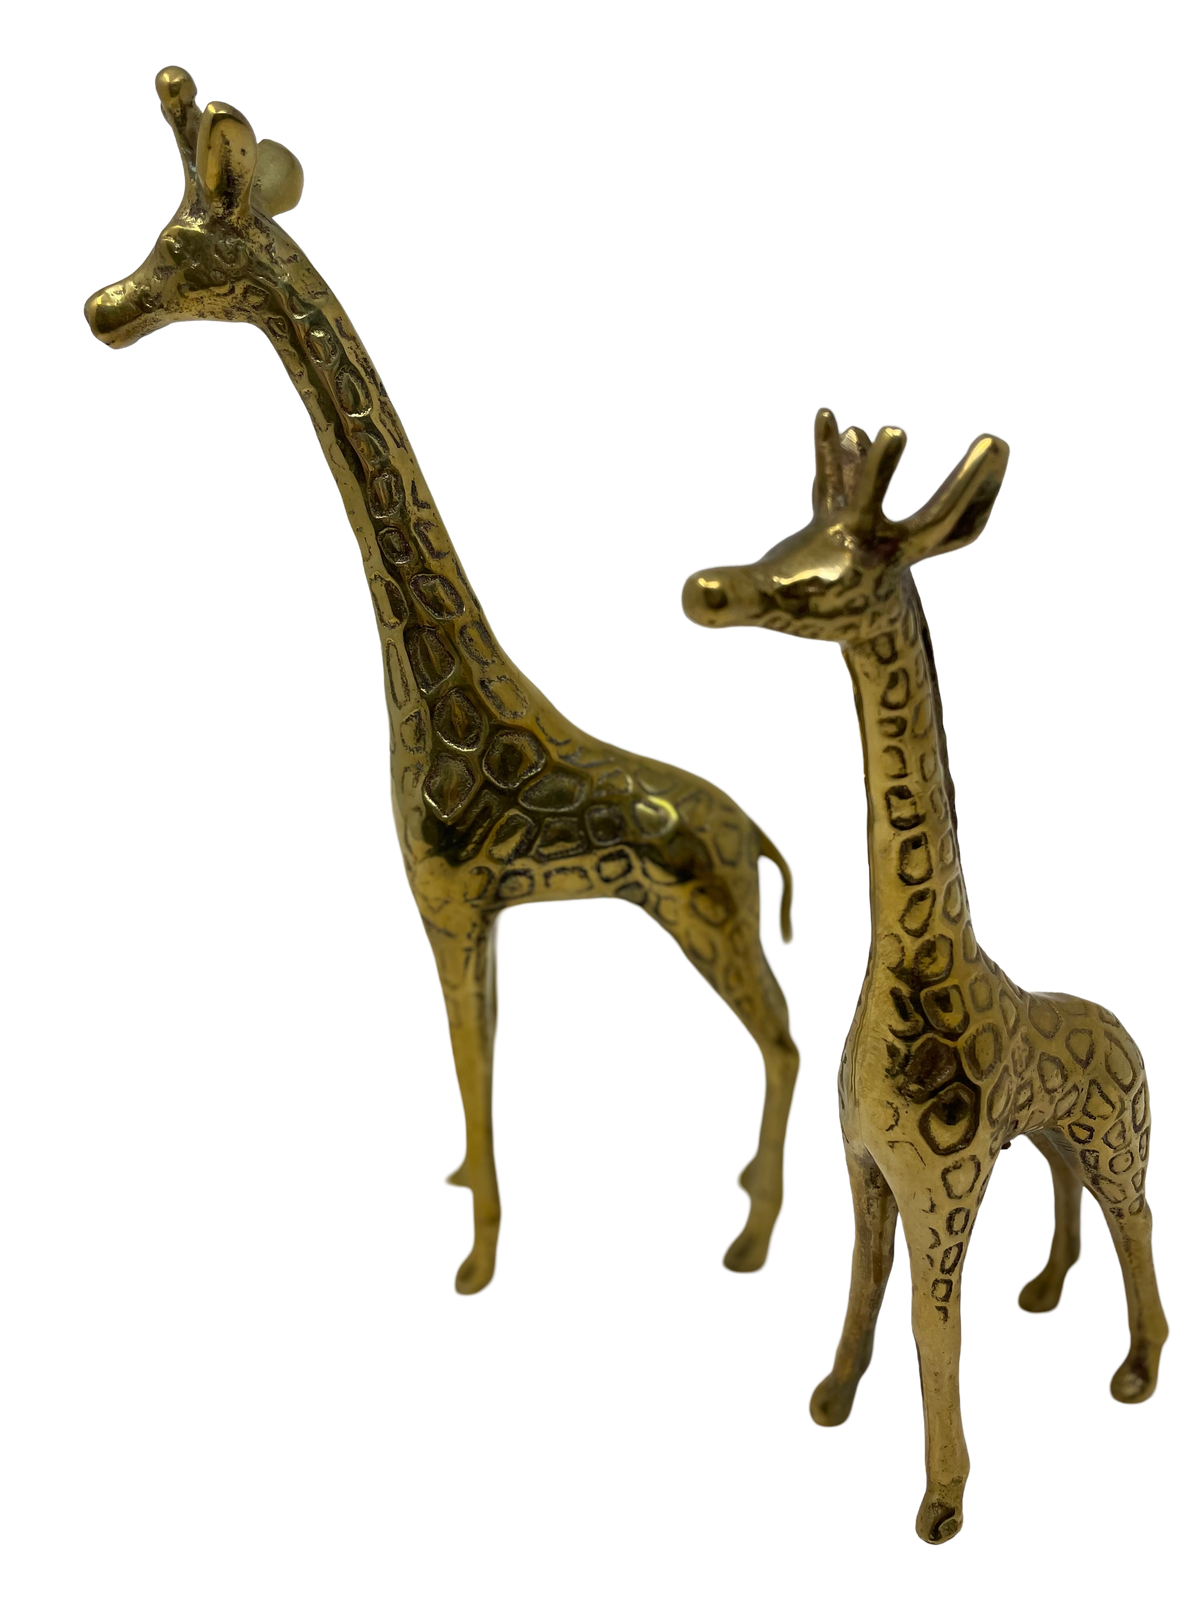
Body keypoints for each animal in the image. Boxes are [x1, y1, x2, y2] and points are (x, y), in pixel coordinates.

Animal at [80, 64, 805, 1300]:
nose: (101, 309)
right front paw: (467, 1196)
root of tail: (757, 836)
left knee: (787, 1043)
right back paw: (746, 1197)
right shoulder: (487, 912)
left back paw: (750, 1243)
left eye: (177, 249)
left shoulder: (448, 901)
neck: (435, 687)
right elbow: (485, 1072)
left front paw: (475, 1266)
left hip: (705, 922)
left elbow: (472, 1068)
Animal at [679, 406, 1172, 1545]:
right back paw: (1044, 1293)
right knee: (1069, 1187)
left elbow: (933, 1321)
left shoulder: (941, 1184)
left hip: (1123, 1134)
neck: (909, 966)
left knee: (1138, 1224)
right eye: (788, 535)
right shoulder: (862, 1159)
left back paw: (1138, 1369)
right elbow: (864, 1281)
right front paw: (831, 1398)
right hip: (1059, 1130)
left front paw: (943, 1499)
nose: (709, 588)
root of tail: (1120, 1023)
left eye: (837, 568)